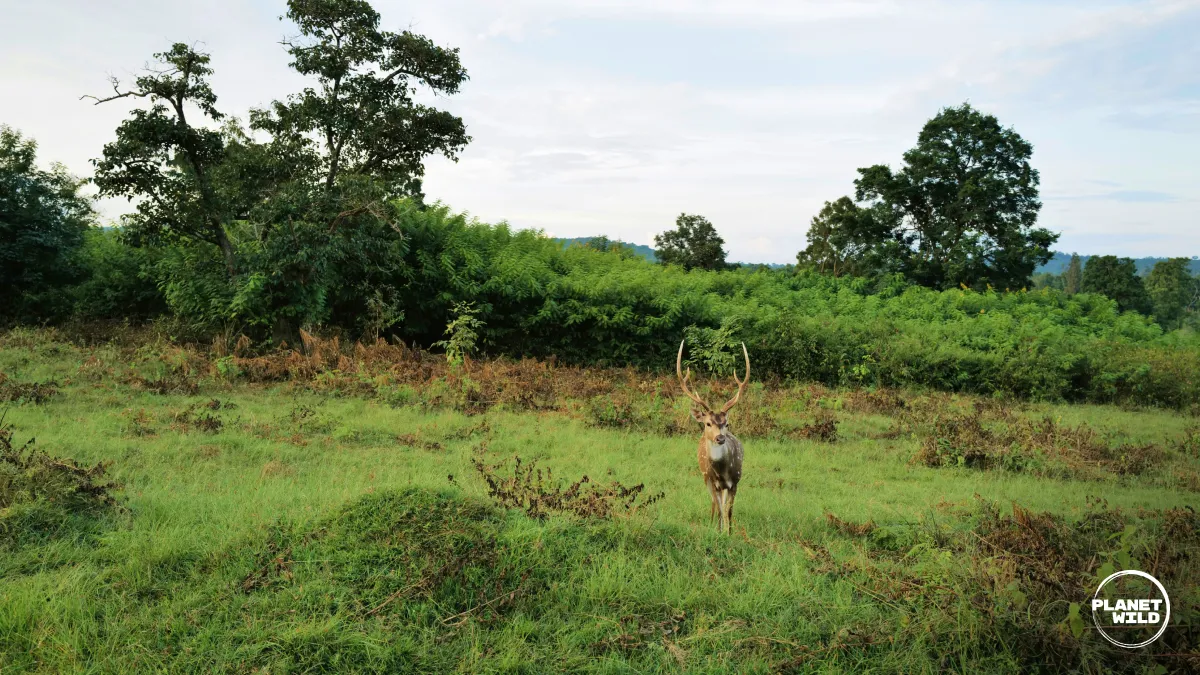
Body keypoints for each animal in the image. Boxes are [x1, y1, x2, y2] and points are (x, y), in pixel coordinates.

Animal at [676, 338, 750, 535]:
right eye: (708, 423)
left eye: (727, 424)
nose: (720, 438)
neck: (723, 472)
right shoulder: (713, 482)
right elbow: (719, 510)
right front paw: (718, 532)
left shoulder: (735, 481)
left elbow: (728, 511)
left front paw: (729, 533)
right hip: (705, 479)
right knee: (713, 505)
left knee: (721, 506)